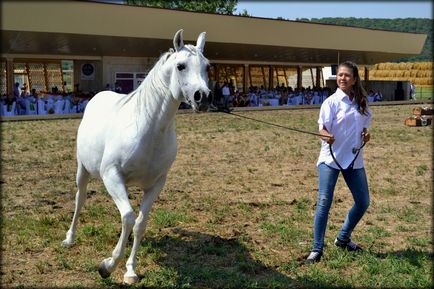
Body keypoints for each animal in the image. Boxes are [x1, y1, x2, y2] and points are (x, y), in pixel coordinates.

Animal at [61, 29, 210, 284]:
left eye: (207, 66)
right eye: (180, 66)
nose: (203, 96)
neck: (147, 129)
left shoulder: (157, 183)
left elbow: (139, 223)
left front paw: (130, 271)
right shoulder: (112, 175)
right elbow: (129, 217)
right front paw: (107, 266)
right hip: (83, 170)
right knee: (80, 200)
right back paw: (69, 238)